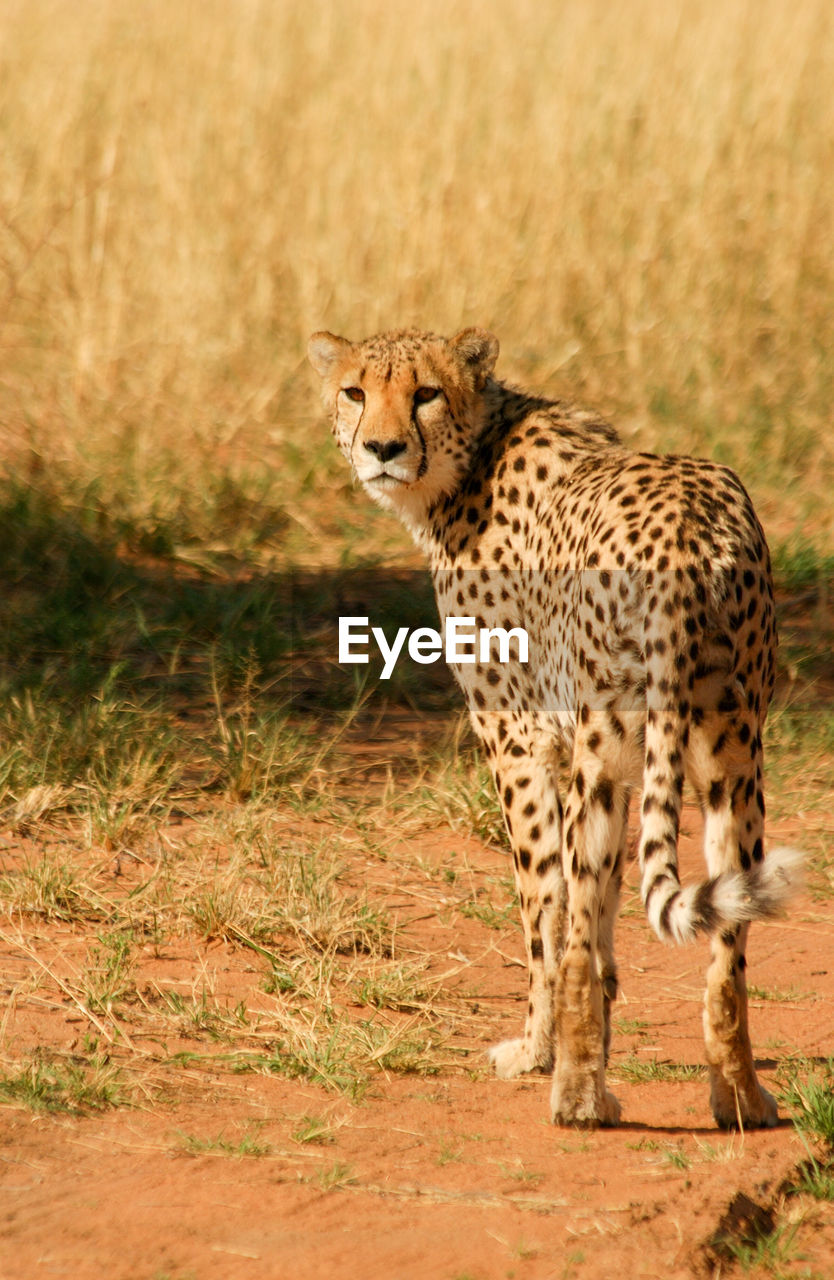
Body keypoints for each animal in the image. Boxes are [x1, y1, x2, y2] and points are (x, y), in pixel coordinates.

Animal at [308, 325, 803, 1126]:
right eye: (355, 391)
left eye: (425, 392)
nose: (382, 448)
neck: (471, 456)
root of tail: (690, 528)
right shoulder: (624, 761)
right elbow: (600, 926)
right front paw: (595, 1032)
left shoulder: (522, 743)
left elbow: (547, 911)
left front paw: (540, 1049)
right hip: (733, 758)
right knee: (728, 944)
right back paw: (738, 1095)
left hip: (602, 754)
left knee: (568, 929)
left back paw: (573, 1096)